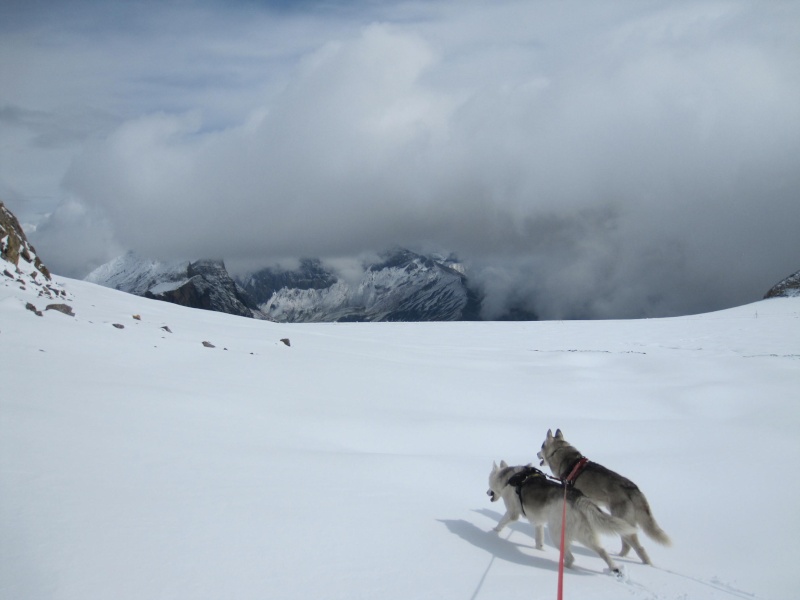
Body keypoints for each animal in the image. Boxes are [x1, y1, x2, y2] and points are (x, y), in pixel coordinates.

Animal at [484, 460, 636, 572]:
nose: (487, 492)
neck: (508, 478)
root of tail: (577, 497)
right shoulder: (538, 522)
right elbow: (539, 539)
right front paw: (540, 549)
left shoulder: (512, 513)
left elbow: (501, 522)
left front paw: (493, 531)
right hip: (584, 534)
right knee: (601, 551)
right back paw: (614, 568)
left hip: (557, 535)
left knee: (570, 558)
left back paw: (563, 568)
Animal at [536, 428, 668, 564]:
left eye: (541, 446)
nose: (536, 454)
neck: (559, 451)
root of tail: (633, 488)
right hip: (623, 524)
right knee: (627, 546)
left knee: (638, 548)